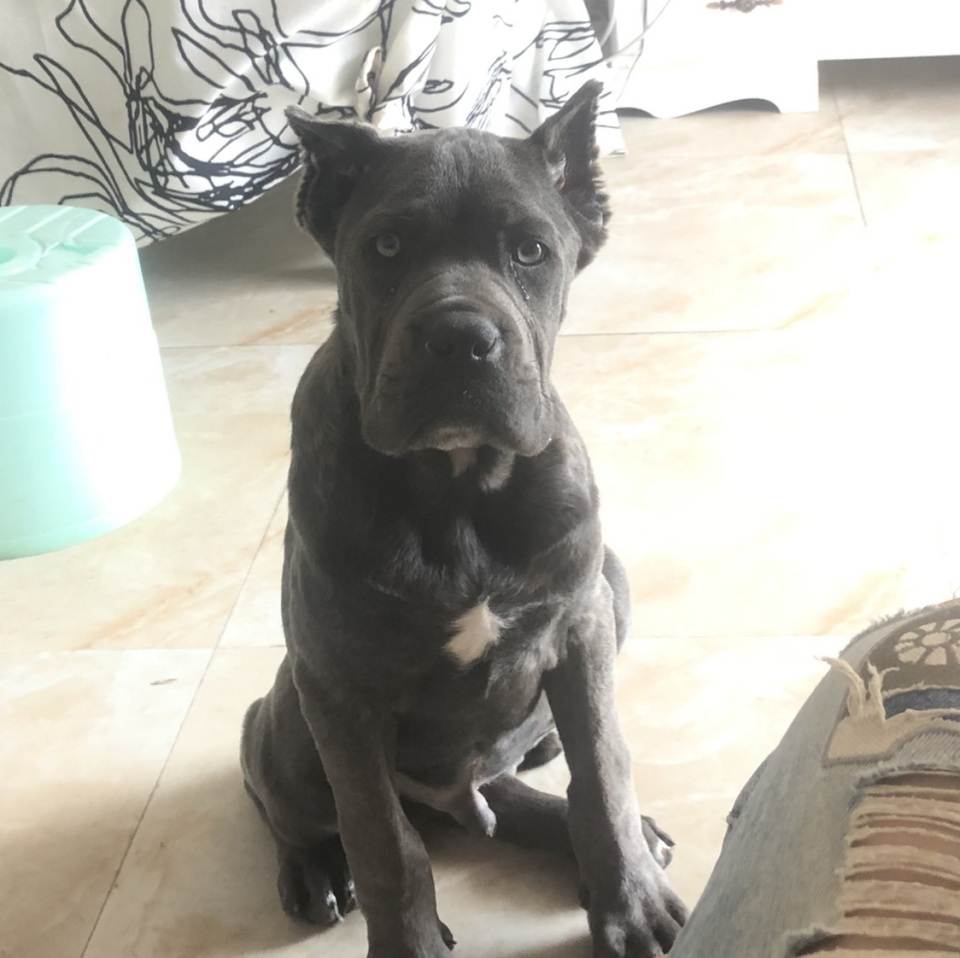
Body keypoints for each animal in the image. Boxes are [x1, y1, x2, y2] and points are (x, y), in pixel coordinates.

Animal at [240, 81, 687, 958]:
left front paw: (631, 901)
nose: (460, 339)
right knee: (280, 797)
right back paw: (313, 870)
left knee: (520, 786)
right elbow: (383, 840)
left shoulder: (580, 626)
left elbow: (602, 771)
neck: (458, 488)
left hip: (611, 585)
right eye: (384, 247)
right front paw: (407, 941)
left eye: (531, 252)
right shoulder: (339, 688)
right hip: (289, 713)